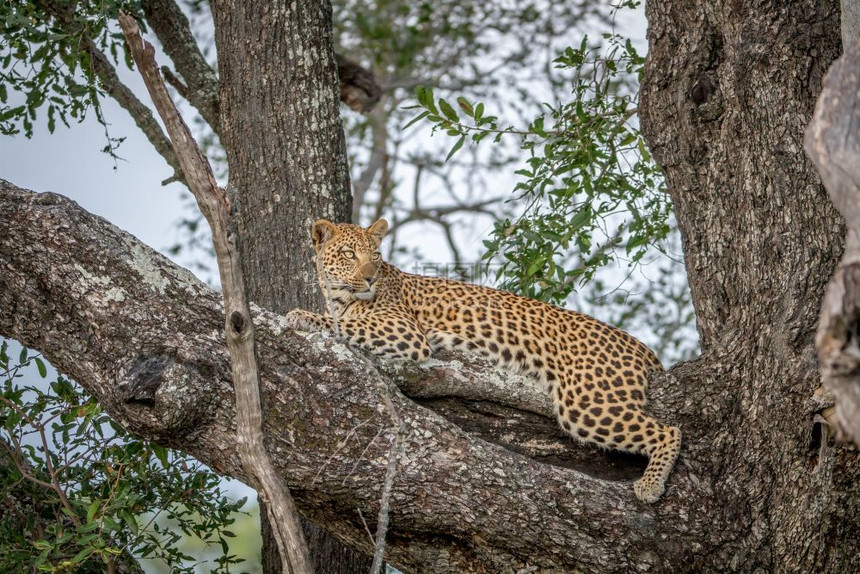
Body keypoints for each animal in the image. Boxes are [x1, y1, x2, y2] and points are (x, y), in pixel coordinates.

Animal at [286, 219, 680, 504]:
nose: (369, 277)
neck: (339, 297)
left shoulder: (405, 330)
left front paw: (300, 315)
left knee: (670, 430)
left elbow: (345, 325)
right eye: (349, 254)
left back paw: (650, 486)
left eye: (376, 256)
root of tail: (639, 346)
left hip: (588, 402)